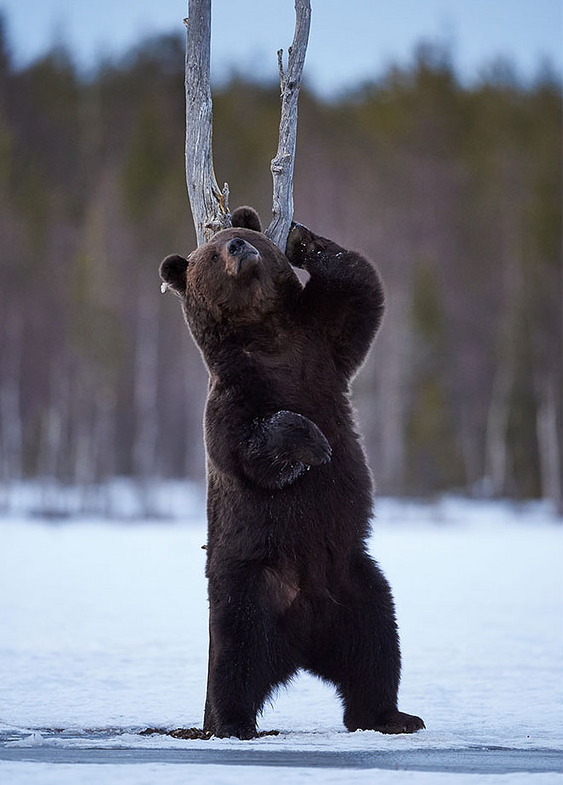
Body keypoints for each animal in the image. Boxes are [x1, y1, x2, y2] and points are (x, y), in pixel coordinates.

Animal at [159, 205, 424, 740]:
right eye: (210, 256)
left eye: (238, 233)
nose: (238, 247)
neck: (265, 337)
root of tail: (304, 642)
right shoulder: (232, 396)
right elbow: (248, 449)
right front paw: (314, 442)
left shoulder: (320, 346)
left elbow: (360, 291)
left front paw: (304, 240)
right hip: (251, 583)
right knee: (236, 657)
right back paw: (233, 723)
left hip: (354, 581)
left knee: (377, 646)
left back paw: (392, 716)